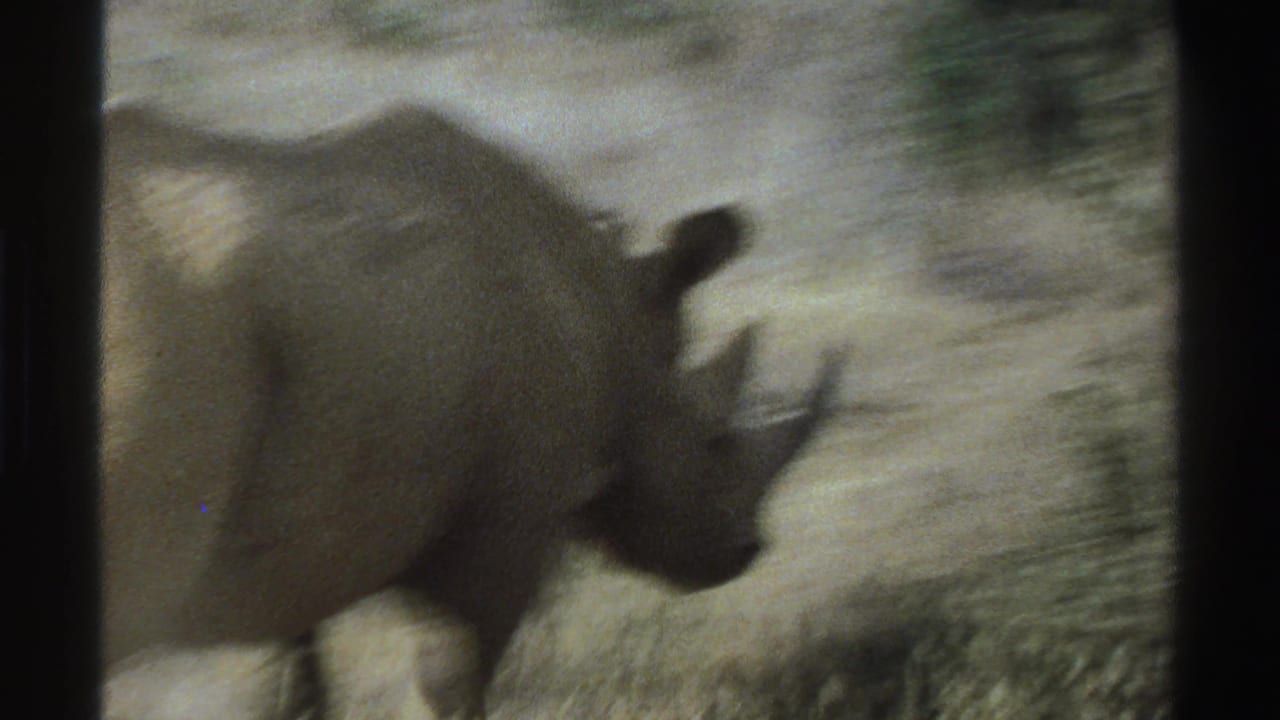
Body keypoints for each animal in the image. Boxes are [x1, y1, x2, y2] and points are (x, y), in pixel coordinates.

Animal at [102, 102, 844, 718]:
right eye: (713, 439)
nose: (747, 551)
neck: (615, 313)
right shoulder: (508, 513)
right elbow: (454, 675)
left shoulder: (300, 537)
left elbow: (297, 677)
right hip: (161, 331)